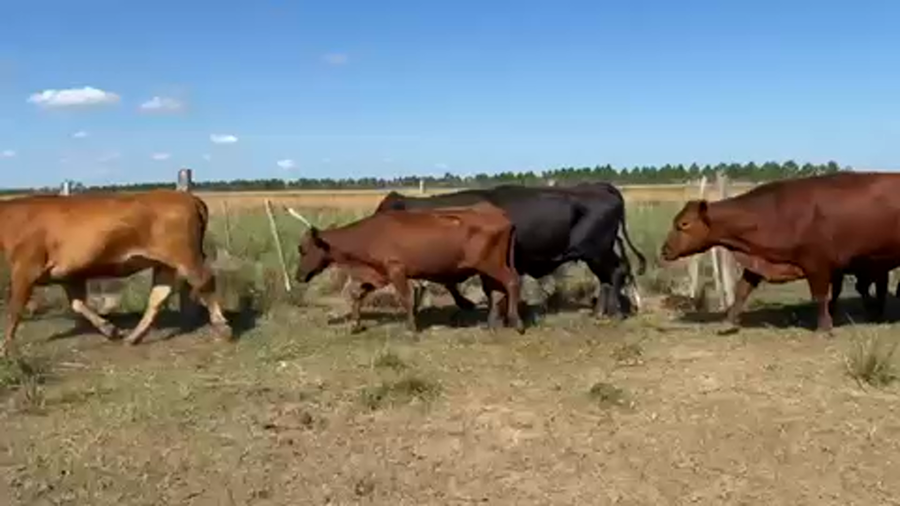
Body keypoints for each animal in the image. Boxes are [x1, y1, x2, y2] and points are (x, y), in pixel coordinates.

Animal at [0, 190, 232, 357]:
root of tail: (188, 197)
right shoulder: (69, 275)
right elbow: (78, 304)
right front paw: (110, 329)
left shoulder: (25, 270)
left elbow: (14, 310)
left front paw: (5, 347)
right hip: (165, 264)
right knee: (159, 295)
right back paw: (133, 337)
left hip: (185, 256)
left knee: (205, 280)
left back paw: (222, 326)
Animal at [287, 202, 525, 334]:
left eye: (302, 249)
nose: (298, 276)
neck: (370, 235)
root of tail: (500, 214)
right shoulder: (378, 274)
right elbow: (357, 295)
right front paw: (355, 325)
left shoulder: (396, 270)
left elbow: (406, 299)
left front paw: (411, 328)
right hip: (488, 269)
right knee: (496, 291)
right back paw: (492, 323)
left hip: (492, 265)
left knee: (512, 282)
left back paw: (517, 322)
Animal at [374, 182, 647, 319]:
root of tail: (601, 186)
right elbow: (493, 291)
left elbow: (491, 291)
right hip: (596, 254)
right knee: (609, 277)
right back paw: (601, 312)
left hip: (597, 251)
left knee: (616, 273)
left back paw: (614, 313)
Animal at [661, 171, 900, 333]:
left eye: (683, 224)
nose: (664, 250)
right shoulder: (758, 261)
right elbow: (741, 291)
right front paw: (727, 321)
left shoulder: (818, 265)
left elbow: (821, 296)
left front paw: (824, 327)